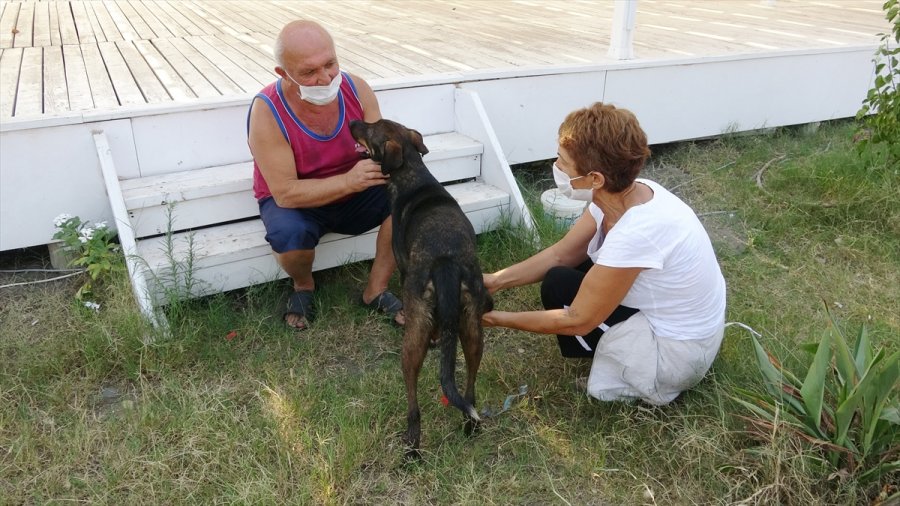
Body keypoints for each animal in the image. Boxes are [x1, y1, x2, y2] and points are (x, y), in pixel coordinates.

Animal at [350, 118, 492, 458]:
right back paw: (470, 425)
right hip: (472, 327)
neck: (414, 174)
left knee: (413, 402)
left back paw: (412, 446)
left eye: (370, 128)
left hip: (412, 343)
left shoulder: (402, 270)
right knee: (470, 388)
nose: (351, 122)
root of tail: (446, 262)